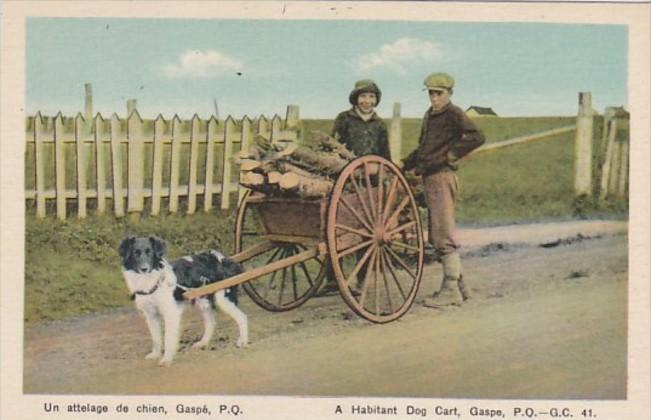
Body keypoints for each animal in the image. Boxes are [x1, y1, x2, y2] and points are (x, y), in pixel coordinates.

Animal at [118, 235, 248, 366]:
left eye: (149, 252)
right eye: (135, 253)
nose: (144, 268)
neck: (151, 281)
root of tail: (222, 258)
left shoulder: (170, 312)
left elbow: (168, 338)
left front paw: (166, 359)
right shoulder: (151, 314)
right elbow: (156, 337)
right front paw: (155, 354)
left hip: (223, 299)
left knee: (242, 317)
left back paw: (242, 341)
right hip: (203, 301)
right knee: (211, 323)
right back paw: (203, 342)